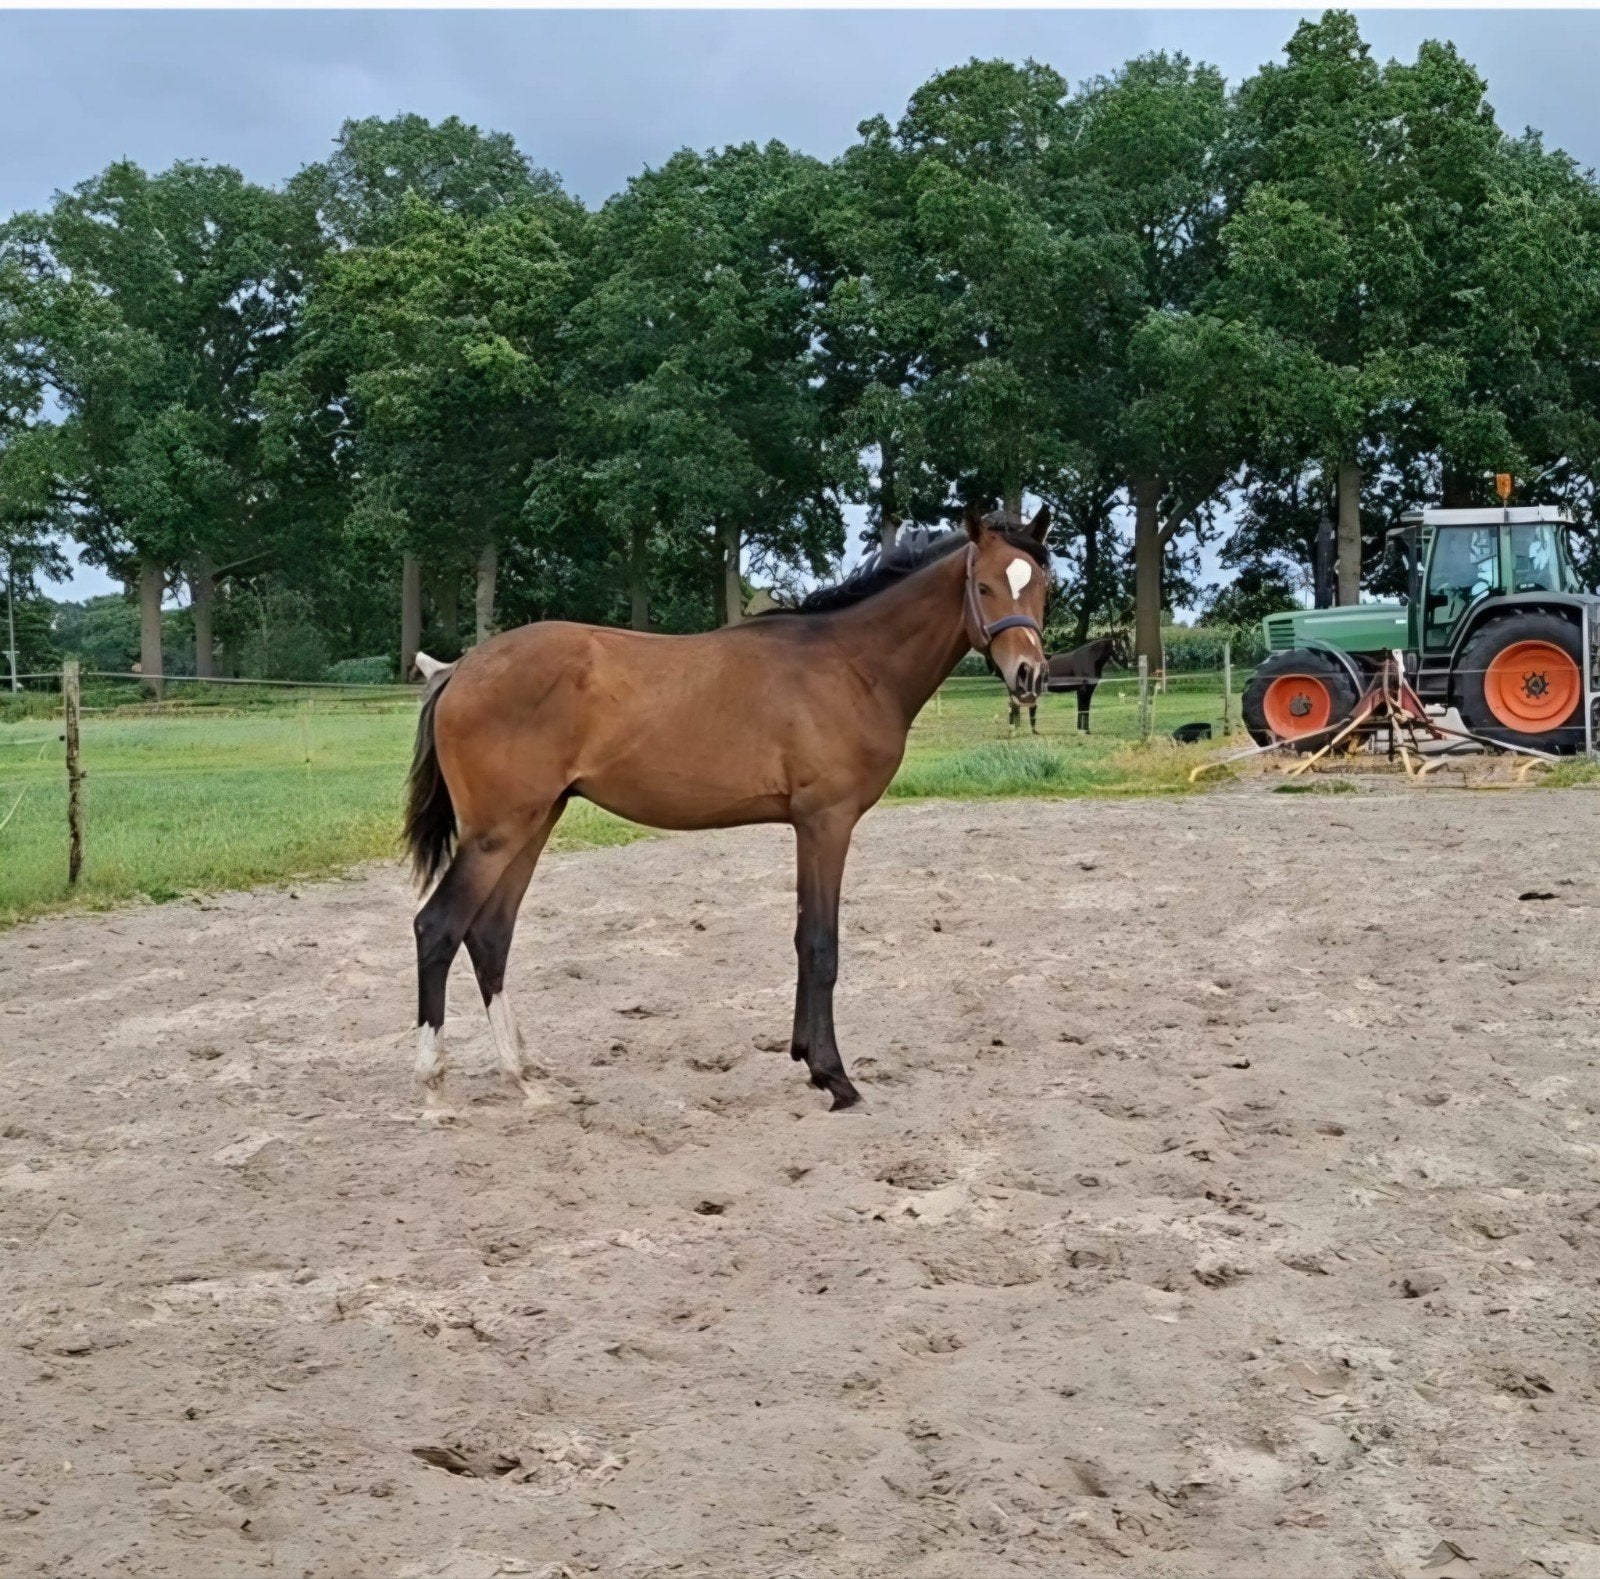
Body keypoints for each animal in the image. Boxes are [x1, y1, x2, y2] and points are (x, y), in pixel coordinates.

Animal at [403, 503, 1051, 1116]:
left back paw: (523, 1076)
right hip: (497, 833)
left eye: (1042, 584)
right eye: (984, 586)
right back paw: (434, 1088)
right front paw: (835, 1077)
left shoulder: (811, 826)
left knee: (490, 934)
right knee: (438, 927)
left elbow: (803, 938)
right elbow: (821, 944)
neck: (850, 664)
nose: (1029, 675)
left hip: (534, 823)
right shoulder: (826, 823)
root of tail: (461, 669)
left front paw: (806, 1059)